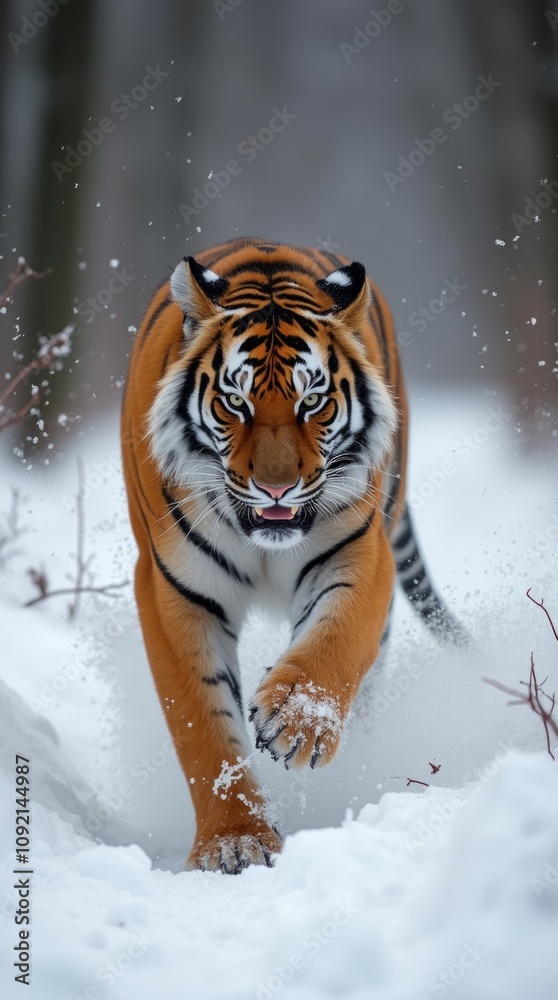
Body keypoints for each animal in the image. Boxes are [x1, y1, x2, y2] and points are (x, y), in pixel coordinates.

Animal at [121, 237, 462, 874]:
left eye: (313, 402)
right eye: (235, 402)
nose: (276, 488)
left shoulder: (360, 554)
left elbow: (337, 638)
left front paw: (297, 723)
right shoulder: (172, 588)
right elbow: (203, 726)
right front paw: (235, 841)